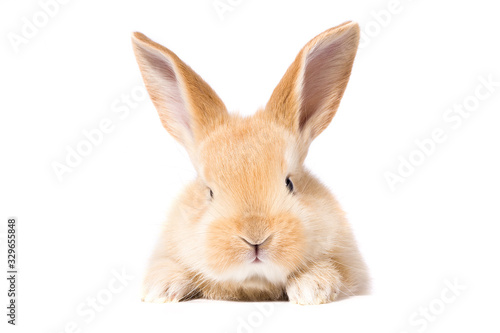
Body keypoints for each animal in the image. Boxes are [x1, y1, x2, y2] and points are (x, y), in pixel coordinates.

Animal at [131, 20, 370, 304]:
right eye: (209, 192)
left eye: (290, 184)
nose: (255, 238)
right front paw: (159, 290)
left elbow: (333, 269)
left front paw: (311, 289)